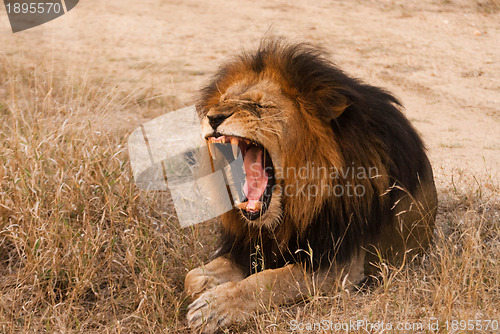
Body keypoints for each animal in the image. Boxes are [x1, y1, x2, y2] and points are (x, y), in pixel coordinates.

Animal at [185, 38, 438, 332]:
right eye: (223, 101)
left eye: (262, 107)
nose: (213, 117)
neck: (293, 208)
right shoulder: (251, 247)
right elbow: (192, 278)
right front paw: (206, 286)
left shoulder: (342, 266)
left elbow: (270, 280)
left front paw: (215, 307)